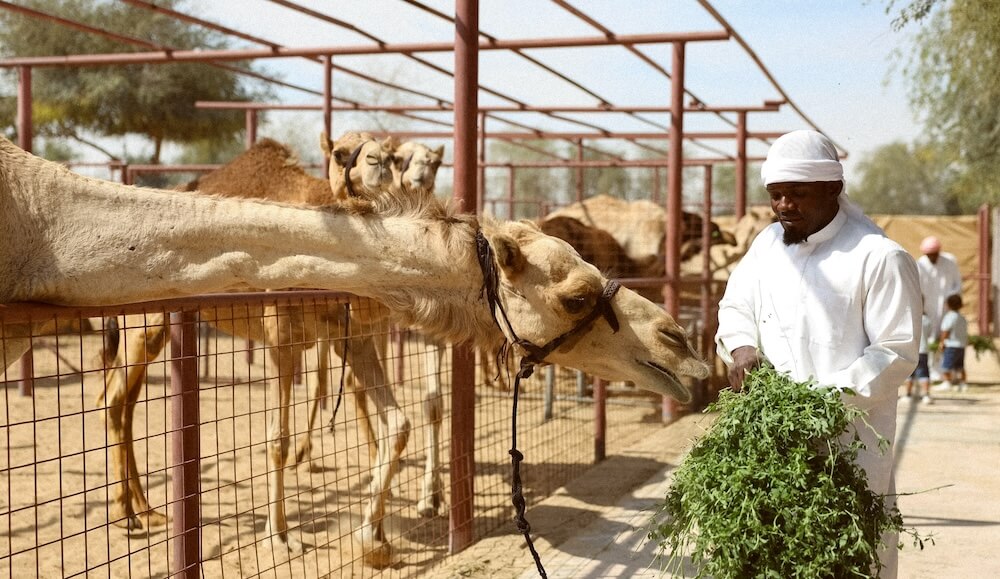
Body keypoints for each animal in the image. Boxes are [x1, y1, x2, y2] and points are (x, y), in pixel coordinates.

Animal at [0, 136, 709, 565]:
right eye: (576, 294)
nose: (684, 350)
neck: (47, 227)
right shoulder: (288, 333)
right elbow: (280, 438)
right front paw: (283, 537)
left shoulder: (353, 332)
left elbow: (397, 421)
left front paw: (376, 539)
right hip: (148, 324)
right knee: (115, 397)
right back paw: (136, 514)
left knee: (116, 398)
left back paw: (141, 511)